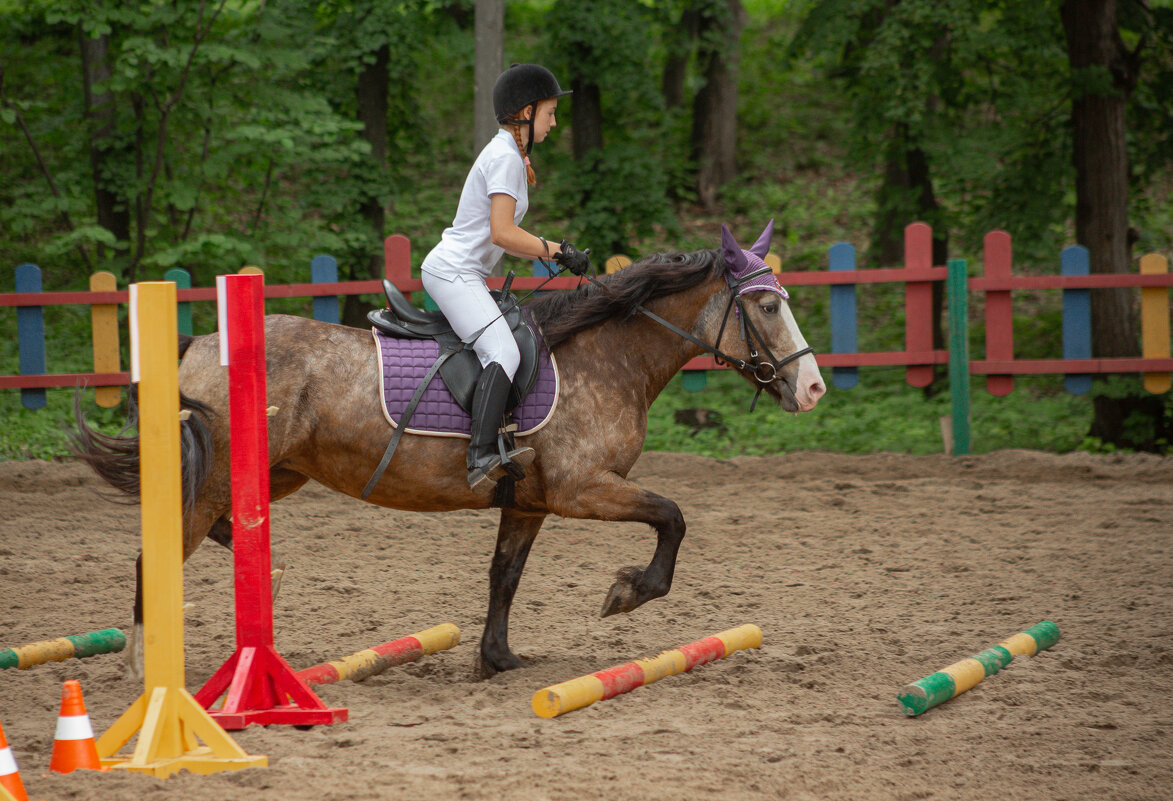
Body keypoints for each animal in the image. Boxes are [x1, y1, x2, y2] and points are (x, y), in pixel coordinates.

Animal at [75, 228, 825, 680]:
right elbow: (672, 516)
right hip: (216, 480)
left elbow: (504, 576)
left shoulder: (530, 501)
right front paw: (627, 593)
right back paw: (145, 668)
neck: (607, 355)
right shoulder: (584, 487)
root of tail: (198, 342)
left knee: (225, 531)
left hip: (276, 473)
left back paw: (270, 586)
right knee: (159, 552)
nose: (813, 388)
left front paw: (499, 658)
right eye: (765, 306)